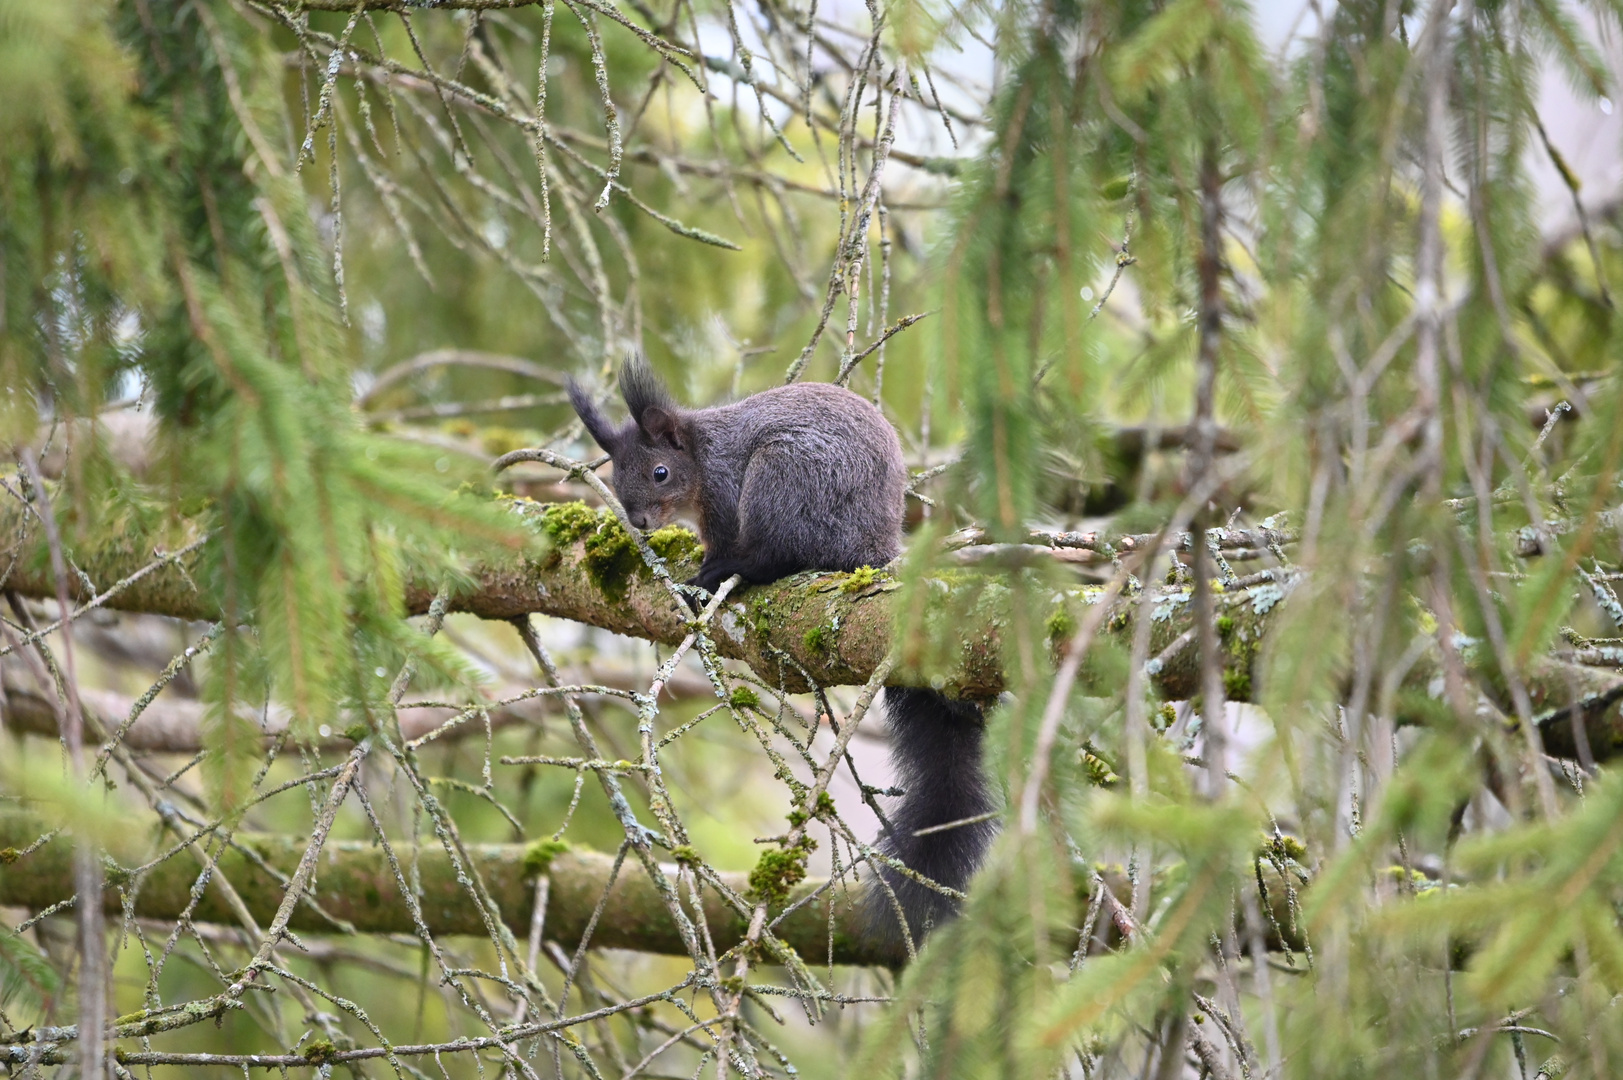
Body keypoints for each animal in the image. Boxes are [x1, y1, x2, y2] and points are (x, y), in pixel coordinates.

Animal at [577, 354, 993, 941]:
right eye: (615, 477)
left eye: (660, 472)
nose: (638, 521)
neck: (700, 458)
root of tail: (869, 545)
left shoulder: (726, 494)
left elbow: (724, 542)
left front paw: (707, 569)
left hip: (782, 478)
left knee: (776, 556)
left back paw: (725, 575)